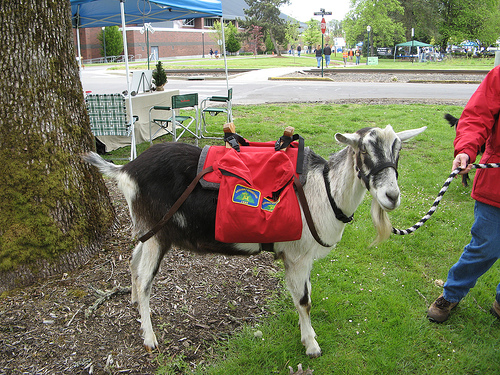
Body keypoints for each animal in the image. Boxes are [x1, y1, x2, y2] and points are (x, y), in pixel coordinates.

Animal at [83, 125, 426, 358]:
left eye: (398, 151)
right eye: (364, 151)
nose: (391, 196)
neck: (325, 189)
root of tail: (126, 169)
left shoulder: (300, 257)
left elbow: (305, 295)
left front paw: (308, 335)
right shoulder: (298, 256)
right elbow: (305, 300)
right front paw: (312, 345)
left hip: (148, 229)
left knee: (133, 261)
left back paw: (134, 305)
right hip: (159, 232)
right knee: (145, 281)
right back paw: (149, 337)